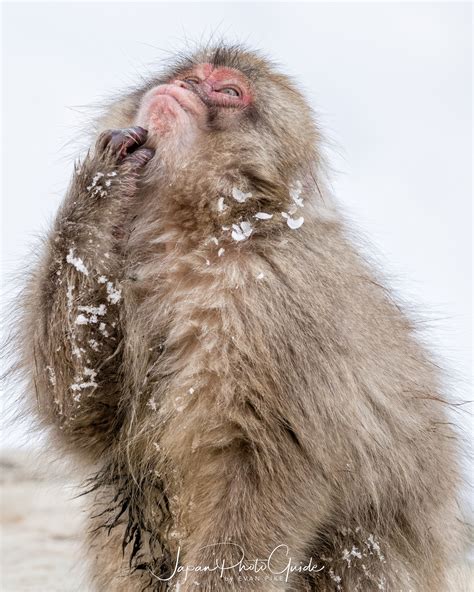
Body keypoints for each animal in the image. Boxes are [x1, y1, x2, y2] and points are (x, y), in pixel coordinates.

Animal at [20, 44, 464, 588]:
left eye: (228, 90)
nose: (186, 87)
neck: (201, 236)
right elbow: (80, 411)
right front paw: (106, 178)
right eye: (193, 75)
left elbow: (270, 470)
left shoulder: (275, 307)